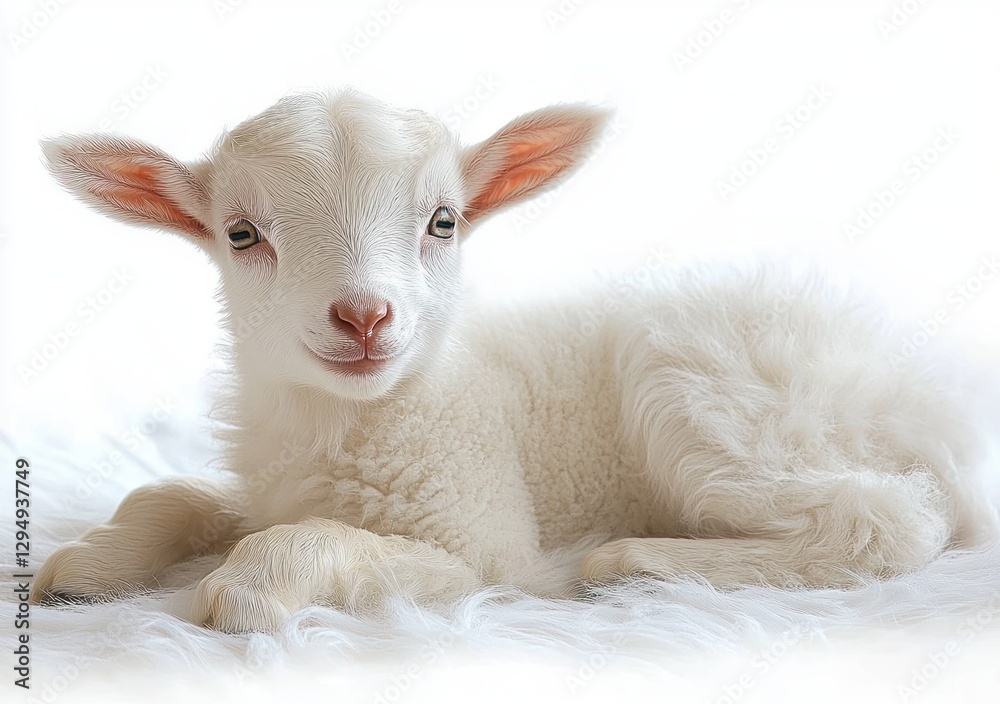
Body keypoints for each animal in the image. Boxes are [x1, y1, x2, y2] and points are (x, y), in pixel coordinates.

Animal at [32, 89, 999, 632]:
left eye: (443, 222)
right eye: (240, 235)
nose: (364, 317)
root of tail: (932, 400)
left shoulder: (482, 548)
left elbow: (322, 538)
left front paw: (248, 589)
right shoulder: (275, 481)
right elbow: (175, 493)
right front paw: (85, 568)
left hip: (716, 393)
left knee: (886, 520)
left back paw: (635, 565)